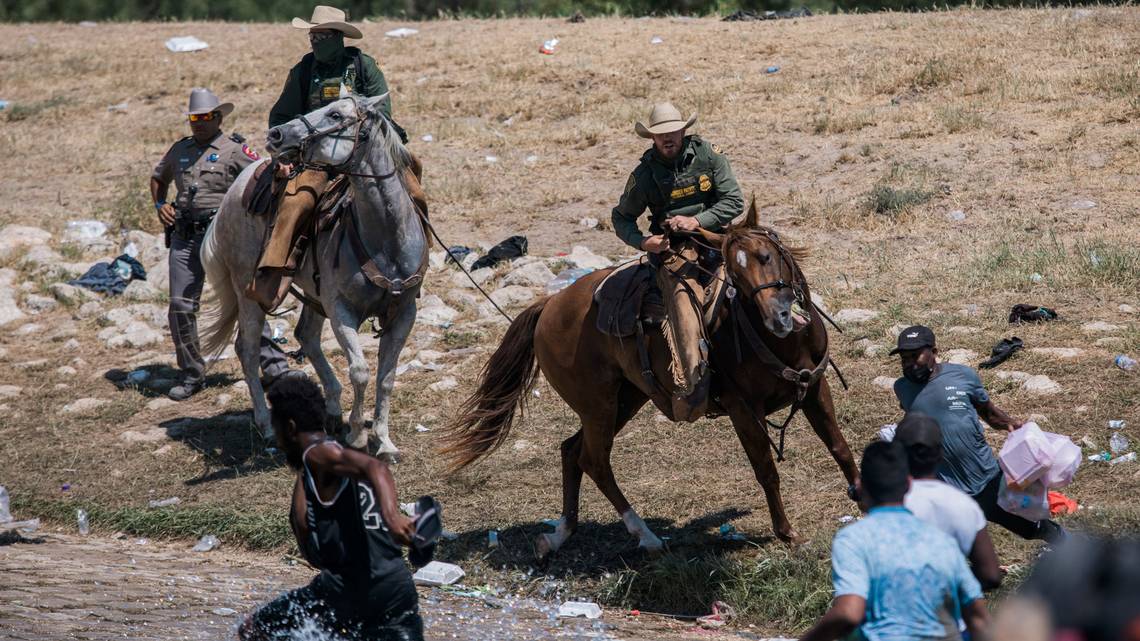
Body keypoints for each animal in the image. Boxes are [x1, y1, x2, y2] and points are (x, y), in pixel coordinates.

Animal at [198, 93, 426, 453]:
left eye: (335, 114)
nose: (276, 135)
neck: (385, 239)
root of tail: (233, 192)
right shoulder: (341, 309)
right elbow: (360, 371)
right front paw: (358, 435)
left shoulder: (404, 312)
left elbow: (386, 377)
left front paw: (384, 441)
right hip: (248, 290)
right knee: (247, 349)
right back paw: (266, 426)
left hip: (313, 293)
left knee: (305, 334)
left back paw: (331, 410)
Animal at [440, 199, 852, 554]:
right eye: (734, 275)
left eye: (766, 257)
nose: (778, 318)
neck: (781, 342)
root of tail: (549, 306)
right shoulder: (742, 409)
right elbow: (766, 470)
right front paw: (787, 533)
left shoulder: (815, 388)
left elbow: (840, 448)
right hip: (599, 407)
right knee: (594, 460)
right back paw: (645, 535)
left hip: (625, 399)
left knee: (572, 451)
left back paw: (559, 534)